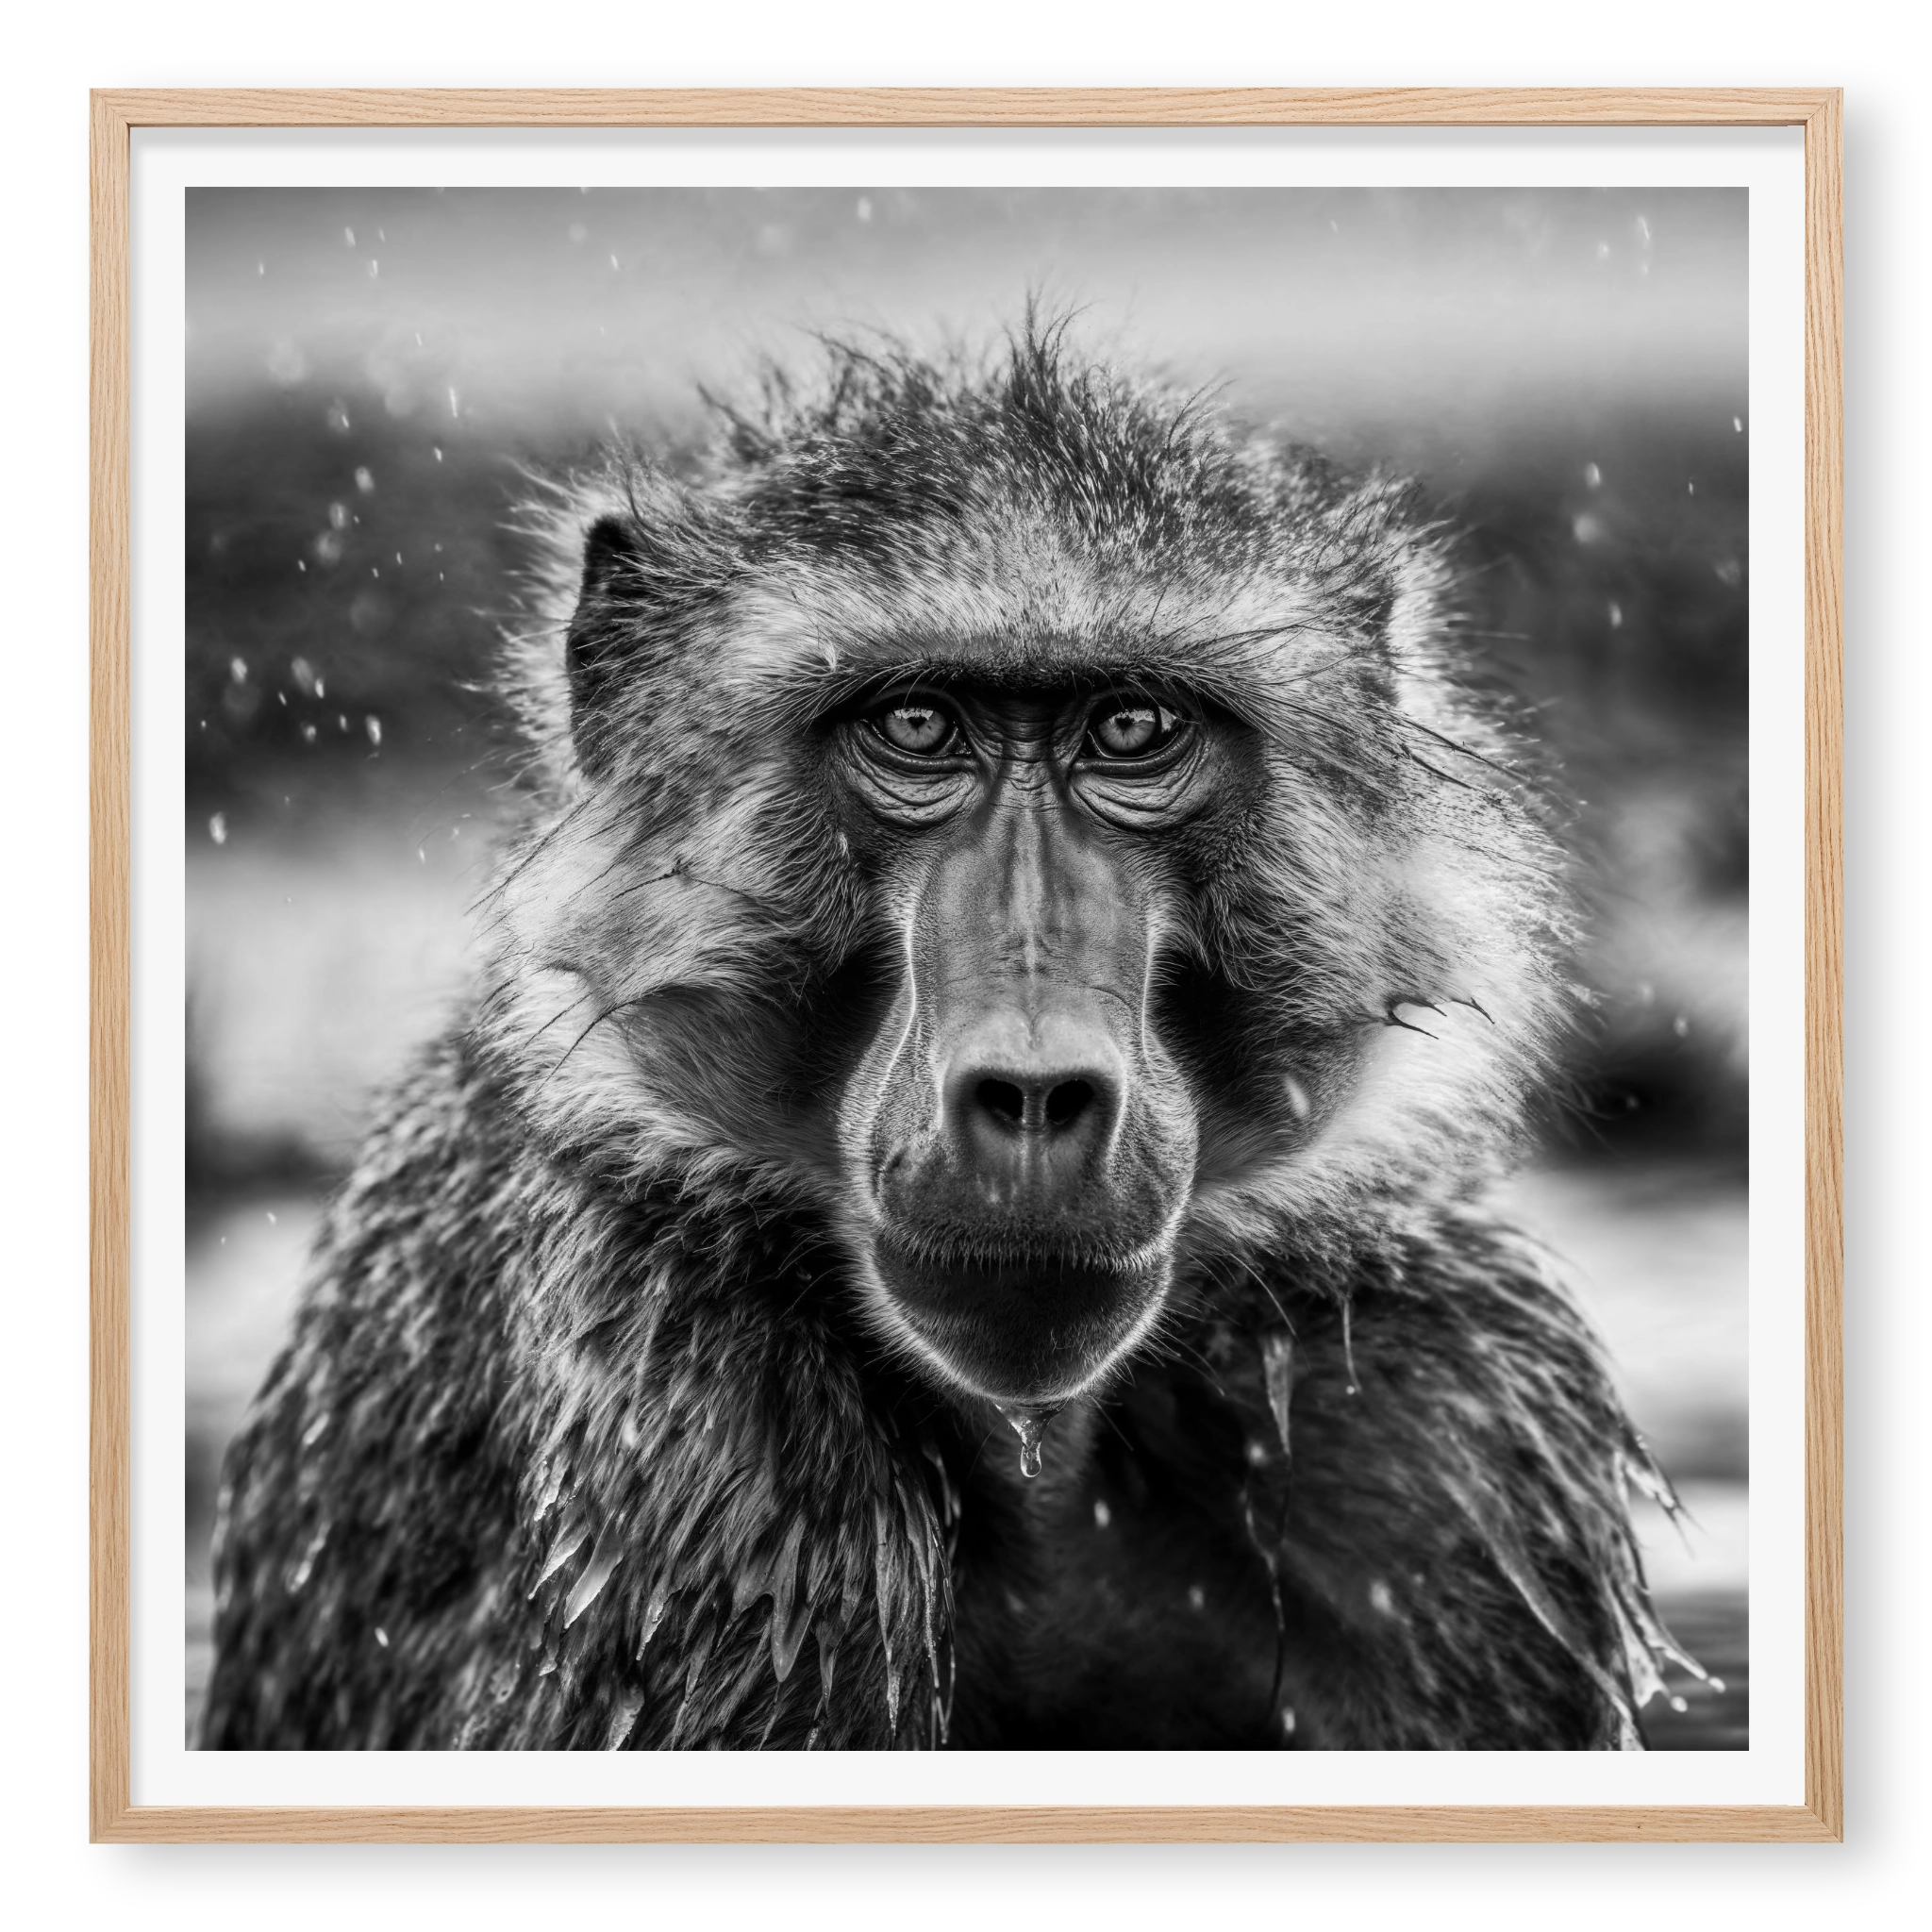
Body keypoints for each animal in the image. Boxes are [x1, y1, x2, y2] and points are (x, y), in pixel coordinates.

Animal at [201, 317, 1713, 1752]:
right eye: (918, 726)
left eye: (1132, 728)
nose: (1035, 1089)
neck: (1043, 1453)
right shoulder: (697, 1429)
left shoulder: (1448, 1431)